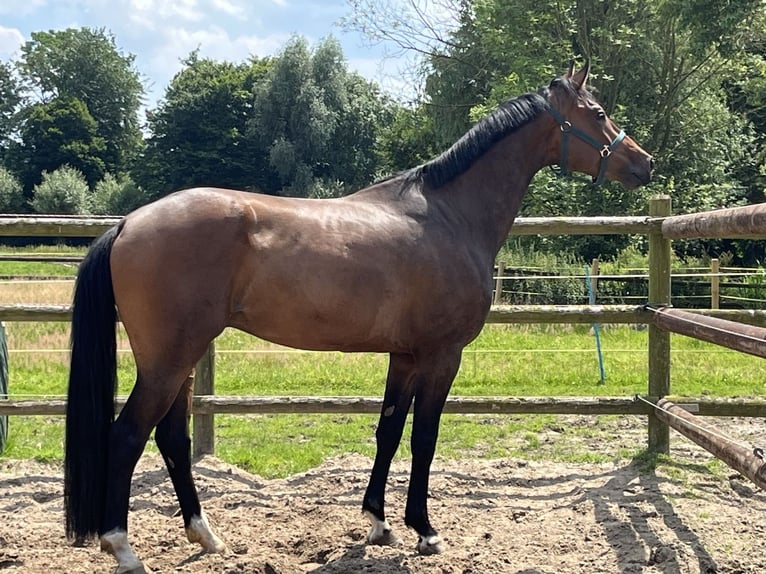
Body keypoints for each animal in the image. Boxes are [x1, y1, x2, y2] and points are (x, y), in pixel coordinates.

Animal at [67, 64, 656, 574]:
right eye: (599, 112)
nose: (645, 163)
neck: (448, 216)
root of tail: (129, 223)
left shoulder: (405, 355)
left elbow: (389, 430)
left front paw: (378, 523)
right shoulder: (442, 355)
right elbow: (424, 438)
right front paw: (425, 531)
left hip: (182, 359)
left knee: (171, 438)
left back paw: (206, 536)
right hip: (168, 360)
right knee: (127, 436)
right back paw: (123, 549)